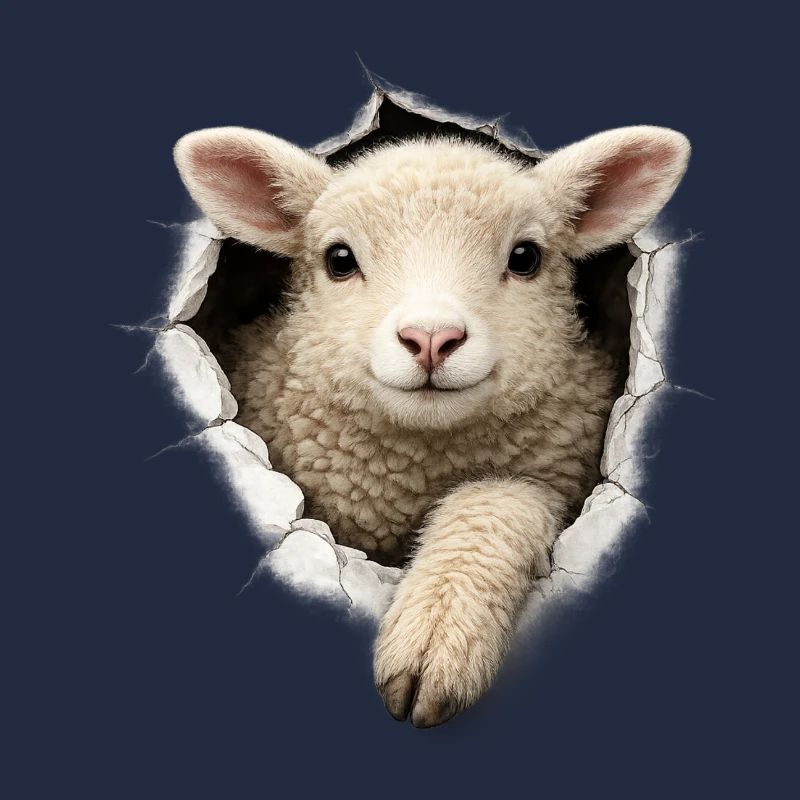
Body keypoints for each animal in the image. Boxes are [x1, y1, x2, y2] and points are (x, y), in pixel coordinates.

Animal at [174, 124, 690, 728]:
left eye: (526, 257)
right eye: (339, 259)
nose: (431, 338)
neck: (418, 462)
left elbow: (496, 503)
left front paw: (437, 637)